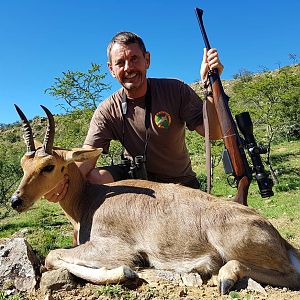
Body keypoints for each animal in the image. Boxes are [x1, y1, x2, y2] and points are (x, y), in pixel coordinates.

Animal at [10, 105, 300, 292]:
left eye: (49, 166)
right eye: (24, 163)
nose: (16, 201)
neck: (88, 200)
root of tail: (276, 235)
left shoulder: (115, 248)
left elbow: (52, 256)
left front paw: (126, 272)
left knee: (290, 275)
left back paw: (225, 278)